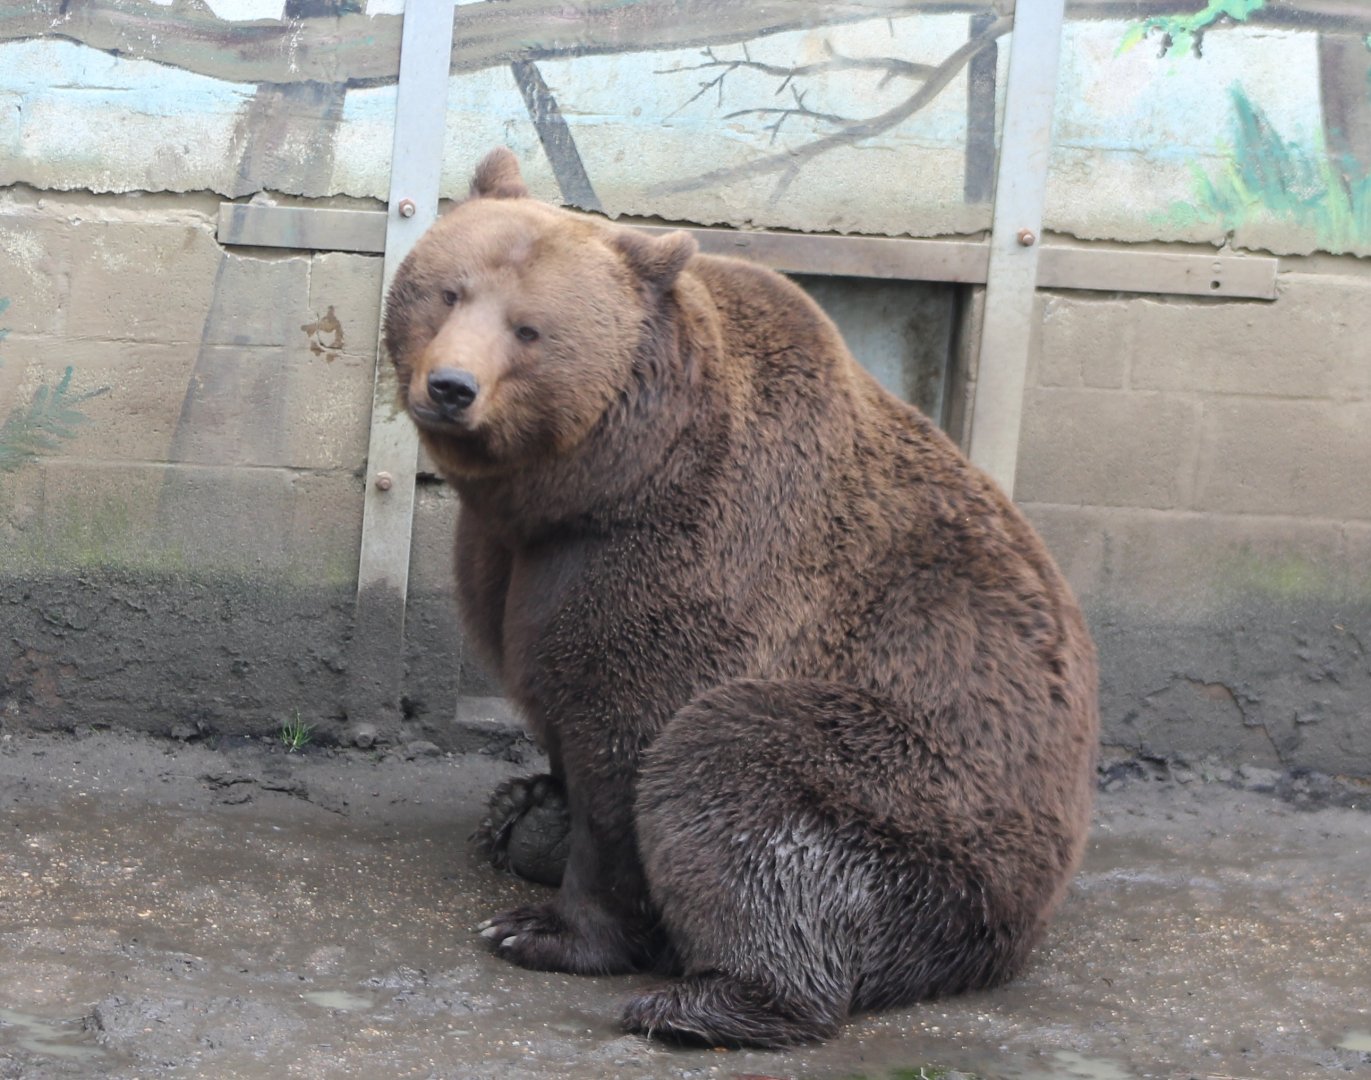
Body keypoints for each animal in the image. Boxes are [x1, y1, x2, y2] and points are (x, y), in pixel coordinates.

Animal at [382, 147, 1099, 1048]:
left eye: (529, 328)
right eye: (448, 290)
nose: (450, 386)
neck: (590, 483)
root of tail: (1028, 916)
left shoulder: (680, 560)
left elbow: (631, 742)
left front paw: (543, 928)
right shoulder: (504, 561)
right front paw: (528, 804)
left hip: (925, 816)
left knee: (736, 767)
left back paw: (709, 1002)